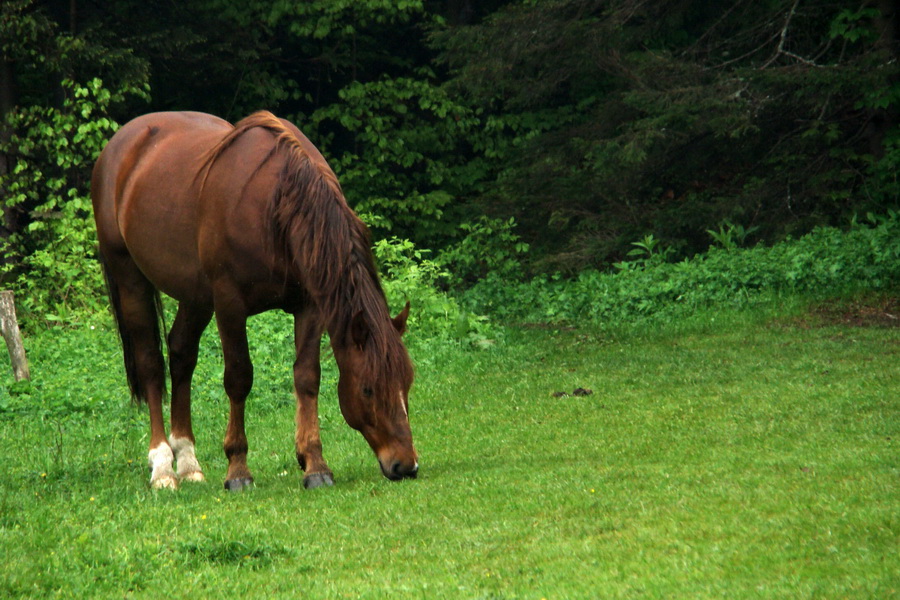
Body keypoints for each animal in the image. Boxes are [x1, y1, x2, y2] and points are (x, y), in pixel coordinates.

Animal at [89, 110, 420, 490]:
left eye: (407, 383)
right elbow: (238, 378)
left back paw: (188, 461)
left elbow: (307, 377)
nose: (406, 465)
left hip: (195, 295)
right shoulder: (229, 304)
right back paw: (163, 466)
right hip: (131, 278)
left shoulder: (309, 306)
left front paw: (314, 464)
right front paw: (237, 469)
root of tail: (120, 145)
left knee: (181, 354)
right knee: (151, 366)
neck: (276, 207)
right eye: (367, 390)